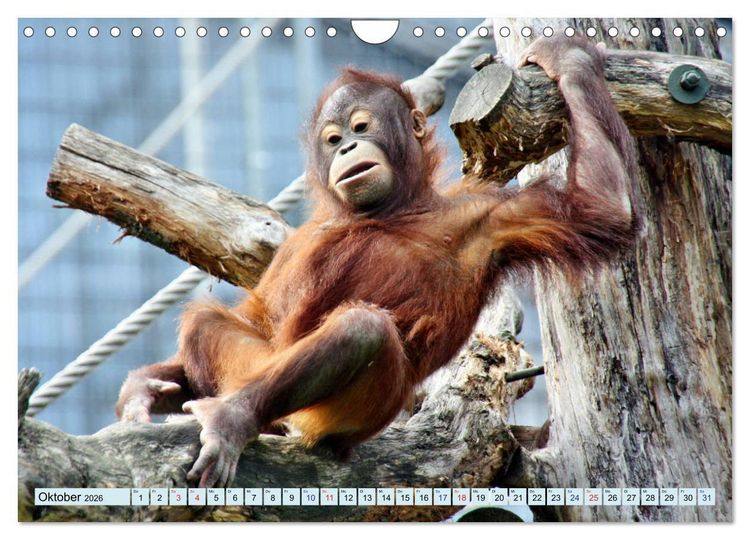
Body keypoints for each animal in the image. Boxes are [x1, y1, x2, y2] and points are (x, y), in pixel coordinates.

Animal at [116, 36, 640, 488]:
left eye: (361, 127)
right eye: (332, 140)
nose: (348, 147)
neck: (385, 212)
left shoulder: (494, 218)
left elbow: (602, 210)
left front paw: (568, 60)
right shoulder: (299, 244)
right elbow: (262, 314)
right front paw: (149, 388)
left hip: (346, 415)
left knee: (362, 329)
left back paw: (231, 418)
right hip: (256, 368)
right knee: (210, 321)